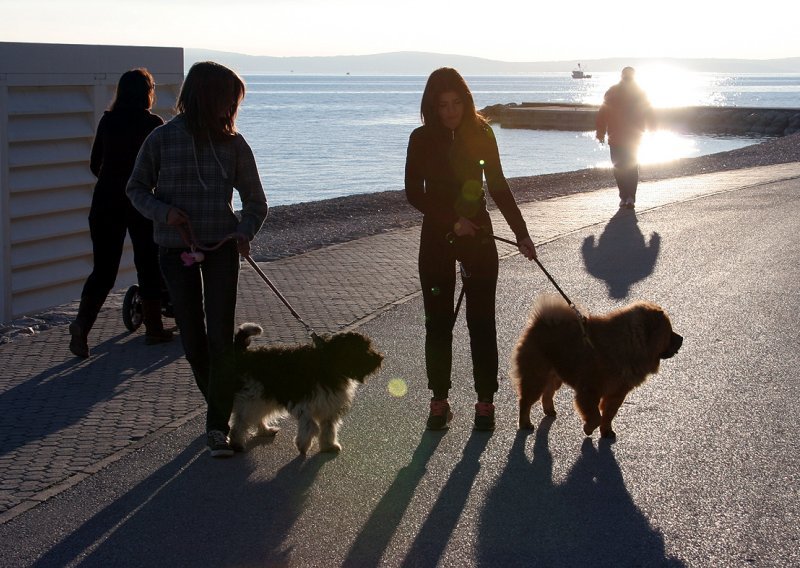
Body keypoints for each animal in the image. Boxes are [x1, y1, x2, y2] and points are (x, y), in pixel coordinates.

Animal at [230, 326, 382, 454]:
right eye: (362, 349)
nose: (380, 358)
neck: (330, 364)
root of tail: (245, 354)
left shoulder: (329, 406)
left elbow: (328, 428)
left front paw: (328, 445)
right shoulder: (304, 405)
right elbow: (311, 426)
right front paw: (303, 445)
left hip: (263, 397)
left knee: (255, 416)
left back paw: (265, 430)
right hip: (253, 396)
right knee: (240, 421)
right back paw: (236, 442)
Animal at [512, 296, 680, 438]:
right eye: (669, 332)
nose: (682, 338)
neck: (628, 345)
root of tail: (539, 322)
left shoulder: (617, 393)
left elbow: (608, 415)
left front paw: (607, 432)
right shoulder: (589, 390)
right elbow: (595, 417)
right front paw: (588, 429)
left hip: (554, 376)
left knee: (547, 393)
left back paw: (549, 411)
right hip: (536, 376)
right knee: (525, 401)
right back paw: (525, 424)